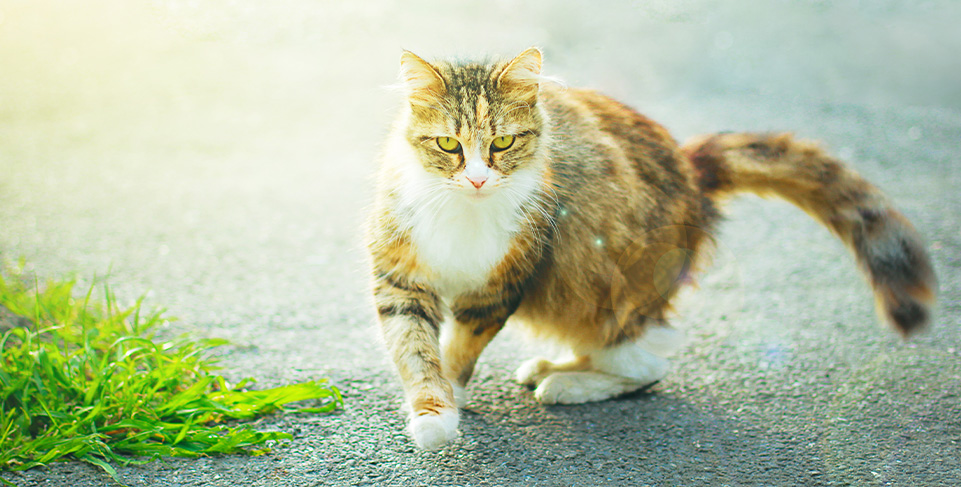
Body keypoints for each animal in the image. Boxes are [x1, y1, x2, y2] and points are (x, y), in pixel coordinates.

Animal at [366, 47, 936, 452]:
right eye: (449, 145)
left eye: (502, 144)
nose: (479, 179)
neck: (461, 211)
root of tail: (689, 166)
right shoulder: (400, 280)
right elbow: (416, 350)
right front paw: (433, 411)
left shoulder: (502, 285)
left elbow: (459, 348)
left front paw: (450, 398)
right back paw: (556, 368)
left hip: (588, 283)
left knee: (649, 362)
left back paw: (570, 384)